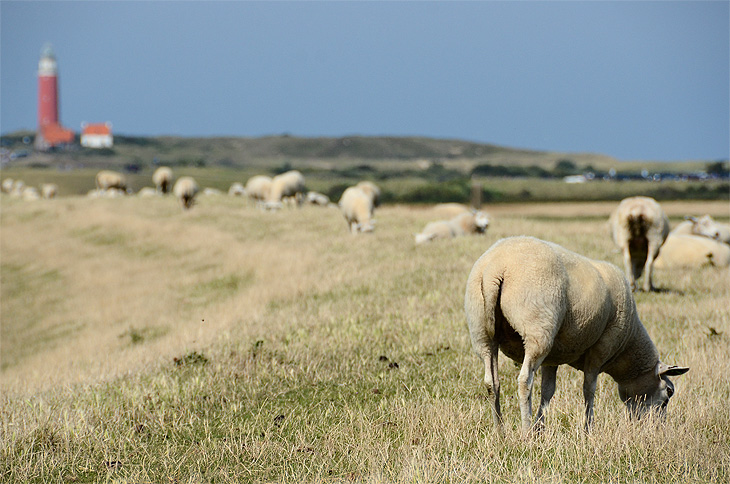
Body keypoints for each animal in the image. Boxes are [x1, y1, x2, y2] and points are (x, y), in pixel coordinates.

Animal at [464, 236, 684, 432]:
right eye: (668, 392)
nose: (657, 428)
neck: (626, 349)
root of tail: (496, 267)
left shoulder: (552, 357)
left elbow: (548, 391)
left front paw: (540, 428)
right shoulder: (601, 348)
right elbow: (589, 389)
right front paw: (588, 428)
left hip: (481, 331)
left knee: (491, 382)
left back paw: (500, 431)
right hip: (538, 330)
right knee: (524, 380)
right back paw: (525, 432)